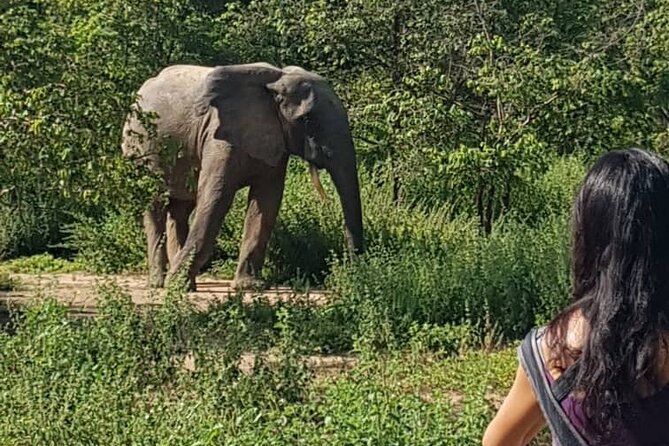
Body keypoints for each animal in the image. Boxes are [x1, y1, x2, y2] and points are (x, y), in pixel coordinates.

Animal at [121, 63, 364, 290]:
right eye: (306, 120)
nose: (353, 271)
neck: (276, 81)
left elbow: (267, 202)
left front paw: (250, 286)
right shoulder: (220, 136)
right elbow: (216, 196)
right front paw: (176, 285)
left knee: (181, 208)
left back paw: (186, 284)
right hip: (140, 147)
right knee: (155, 204)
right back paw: (161, 283)